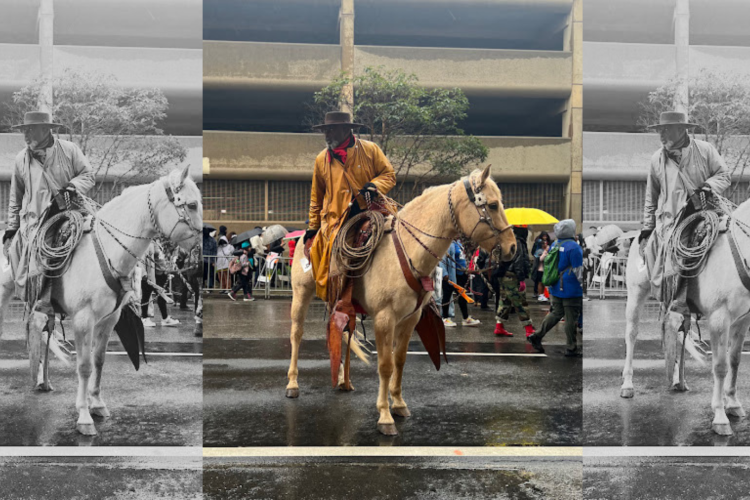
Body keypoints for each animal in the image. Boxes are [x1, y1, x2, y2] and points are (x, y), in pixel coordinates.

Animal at [0, 166, 203, 436]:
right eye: (191, 205)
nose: (200, 253)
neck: (107, 252)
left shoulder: (109, 319)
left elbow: (98, 361)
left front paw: (96, 403)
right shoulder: (83, 319)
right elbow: (84, 365)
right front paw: (84, 416)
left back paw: (43, 380)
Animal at [286, 166, 516, 436]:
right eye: (492, 205)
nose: (513, 248)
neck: (407, 252)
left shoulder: (409, 319)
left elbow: (399, 361)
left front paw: (398, 403)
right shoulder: (384, 318)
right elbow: (385, 365)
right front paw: (385, 415)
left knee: (343, 333)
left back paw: (344, 380)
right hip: (301, 293)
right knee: (296, 334)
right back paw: (293, 383)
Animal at [620, 198, 750, 434]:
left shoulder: (744, 319)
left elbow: (734, 361)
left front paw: (733, 403)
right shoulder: (719, 319)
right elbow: (720, 366)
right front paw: (720, 416)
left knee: (674, 333)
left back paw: (676, 380)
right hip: (636, 293)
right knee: (631, 335)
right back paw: (627, 384)